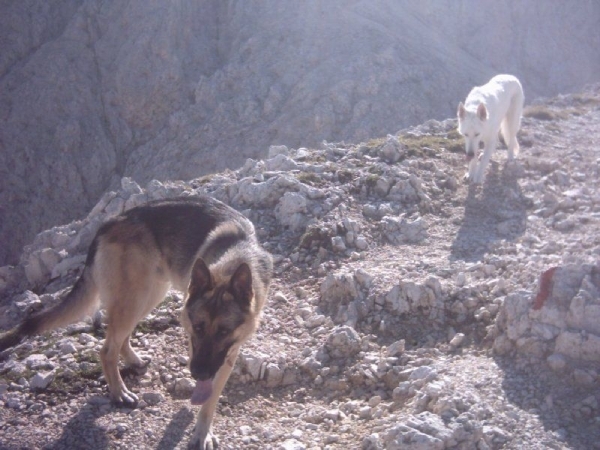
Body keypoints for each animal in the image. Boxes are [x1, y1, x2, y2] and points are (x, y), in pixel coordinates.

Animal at [0, 196, 274, 450]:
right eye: (198, 327)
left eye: (224, 331)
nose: (197, 372)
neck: (234, 257)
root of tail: (107, 225)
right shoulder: (194, 339)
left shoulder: (229, 351)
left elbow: (211, 396)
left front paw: (202, 429)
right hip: (137, 296)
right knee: (107, 349)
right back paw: (119, 392)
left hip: (150, 294)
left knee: (121, 338)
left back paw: (134, 361)